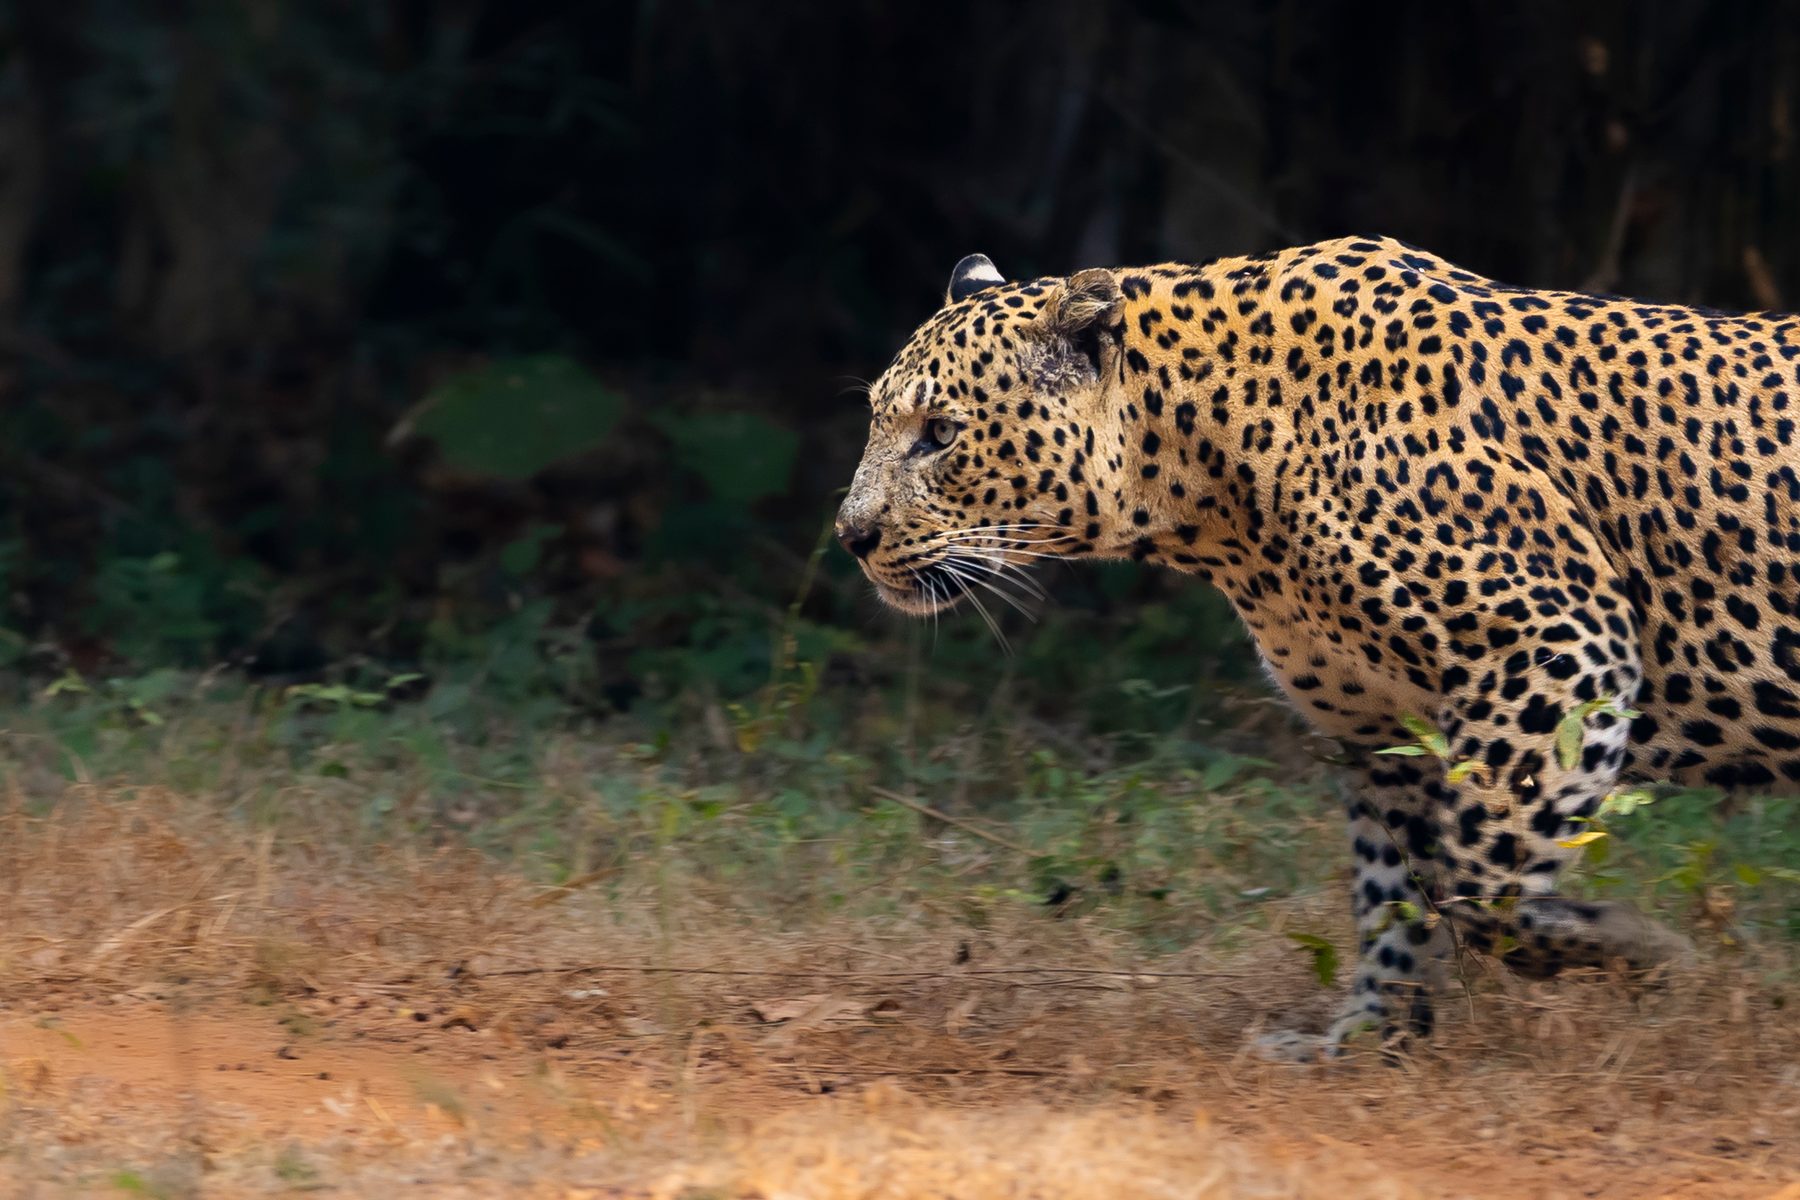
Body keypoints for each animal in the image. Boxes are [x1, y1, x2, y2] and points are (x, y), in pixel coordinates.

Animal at [836, 236, 1800, 1059]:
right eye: (878, 419)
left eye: (940, 434)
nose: (849, 535)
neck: (1206, 488)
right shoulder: (1381, 728)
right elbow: (1397, 890)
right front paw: (1371, 1039)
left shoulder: (1556, 646)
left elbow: (1484, 873)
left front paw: (1642, 948)